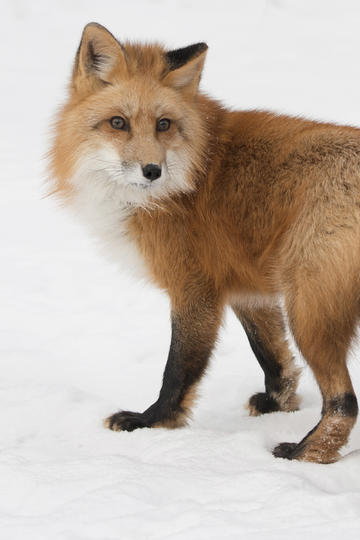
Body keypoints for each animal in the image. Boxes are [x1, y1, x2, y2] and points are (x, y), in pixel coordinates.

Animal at [48, 23, 360, 464]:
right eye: (117, 122)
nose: (152, 170)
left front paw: (151, 422)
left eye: (163, 124)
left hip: (309, 309)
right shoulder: (246, 287)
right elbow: (272, 355)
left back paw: (303, 453)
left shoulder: (195, 287)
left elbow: (178, 369)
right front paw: (278, 403)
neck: (192, 167)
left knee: (345, 403)